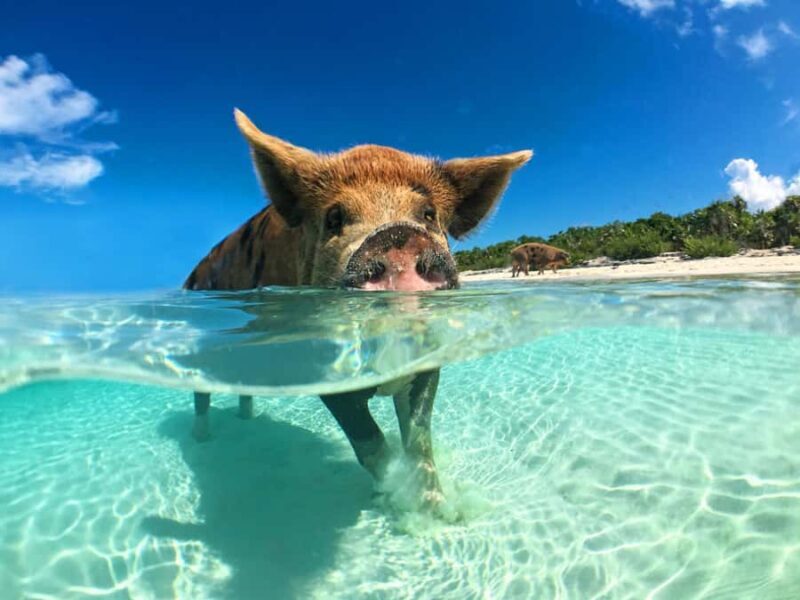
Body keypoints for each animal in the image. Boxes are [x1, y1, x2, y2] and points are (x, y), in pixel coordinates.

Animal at [184, 109, 532, 511]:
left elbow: (419, 440)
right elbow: (369, 442)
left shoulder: (428, 361)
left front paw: (439, 511)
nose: (396, 235)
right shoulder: (323, 368)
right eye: (334, 218)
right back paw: (201, 438)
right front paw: (395, 501)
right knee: (201, 394)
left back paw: (245, 419)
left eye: (428, 214)